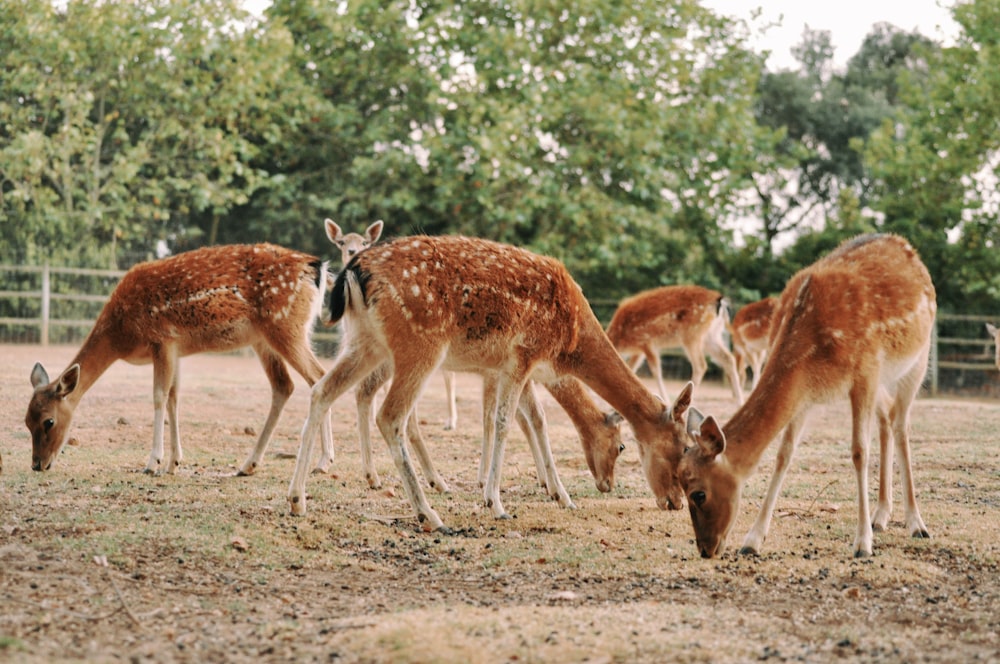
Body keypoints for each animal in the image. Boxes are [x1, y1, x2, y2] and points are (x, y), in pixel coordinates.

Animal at [23, 244, 334, 478]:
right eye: (26, 421)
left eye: (49, 421)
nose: (37, 464)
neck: (121, 332)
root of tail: (315, 268)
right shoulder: (176, 349)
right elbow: (174, 397)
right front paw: (174, 463)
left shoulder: (161, 339)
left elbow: (159, 396)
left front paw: (152, 463)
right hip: (264, 338)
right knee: (284, 385)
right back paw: (249, 465)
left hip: (285, 326)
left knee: (318, 377)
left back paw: (323, 463)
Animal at [290, 233, 696, 528]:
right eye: (682, 448)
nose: (675, 502)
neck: (570, 343)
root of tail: (354, 272)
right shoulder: (523, 355)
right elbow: (504, 422)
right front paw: (495, 502)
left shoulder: (512, 368)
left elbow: (535, 421)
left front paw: (561, 496)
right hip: (419, 344)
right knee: (390, 416)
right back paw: (429, 513)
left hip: (366, 342)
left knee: (321, 390)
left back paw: (297, 499)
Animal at [600, 284, 744, 404]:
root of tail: (719, 301)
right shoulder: (640, 350)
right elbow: (631, 368)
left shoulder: (647, 342)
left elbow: (656, 371)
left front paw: (665, 400)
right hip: (712, 336)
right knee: (728, 359)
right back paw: (739, 402)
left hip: (692, 335)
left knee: (700, 365)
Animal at [680, 236, 936, 556]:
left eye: (698, 494)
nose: (706, 549)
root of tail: (909, 249)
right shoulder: (805, 395)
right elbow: (783, 454)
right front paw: (752, 541)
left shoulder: (865, 372)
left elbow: (859, 451)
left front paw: (862, 544)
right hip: (882, 383)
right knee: (886, 419)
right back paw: (880, 516)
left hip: (917, 361)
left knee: (901, 425)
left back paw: (916, 524)